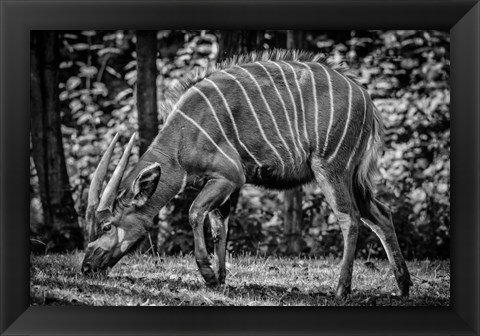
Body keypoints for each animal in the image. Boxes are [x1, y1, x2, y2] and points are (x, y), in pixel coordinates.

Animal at [82, 49, 412, 296]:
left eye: (107, 226)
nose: (86, 267)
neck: (183, 137)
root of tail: (367, 99)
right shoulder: (225, 184)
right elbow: (219, 224)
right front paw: (220, 277)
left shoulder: (229, 176)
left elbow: (195, 211)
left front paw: (207, 273)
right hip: (353, 176)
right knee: (381, 214)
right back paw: (403, 286)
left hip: (331, 168)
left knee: (350, 218)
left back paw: (342, 289)